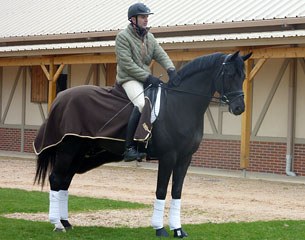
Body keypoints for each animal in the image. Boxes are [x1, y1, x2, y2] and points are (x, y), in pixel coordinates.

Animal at [33, 51, 252, 238]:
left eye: (243, 76)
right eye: (229, 74)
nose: (239, 108)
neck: (180, 104)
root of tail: (61, 98)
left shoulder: (185, 158)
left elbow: (177, 192)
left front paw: (178, 229)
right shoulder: (168, 156)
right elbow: (161, 190)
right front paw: (160, 229)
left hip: (78, 152)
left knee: (64, 181)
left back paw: (66, 222)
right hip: (68, 150)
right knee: (56, 179)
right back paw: (57, 224)